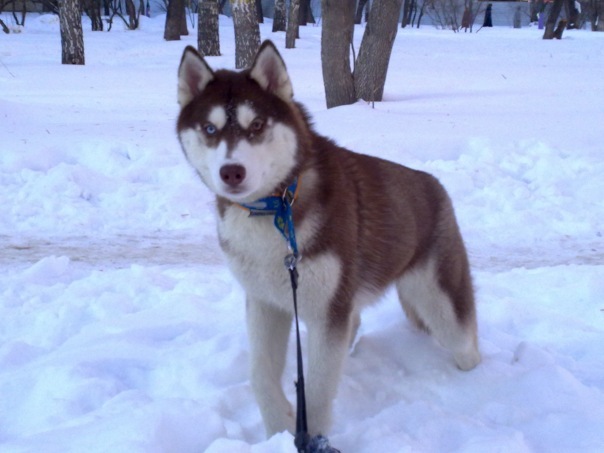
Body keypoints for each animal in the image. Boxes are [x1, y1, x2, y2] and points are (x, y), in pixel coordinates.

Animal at [176, 41, 481, 438]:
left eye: (256, 125)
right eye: (210, 128)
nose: (231, 171)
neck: (274, 208)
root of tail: (433, 184)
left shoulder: (328, 313)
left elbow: (318, 391)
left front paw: (311, 436)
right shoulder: (265, 302)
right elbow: (260, 375)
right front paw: (279, 430)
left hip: (439, 304)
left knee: (466, 342)